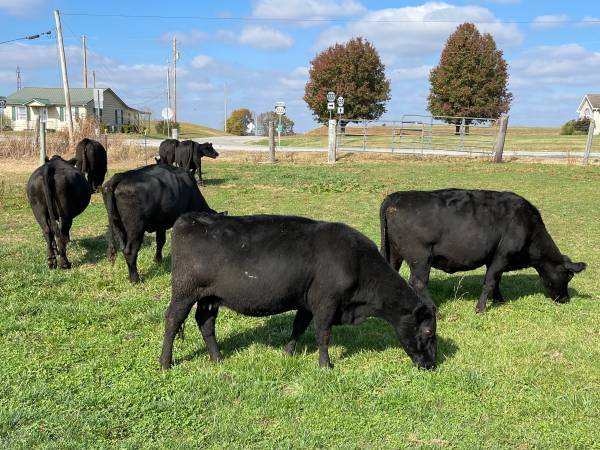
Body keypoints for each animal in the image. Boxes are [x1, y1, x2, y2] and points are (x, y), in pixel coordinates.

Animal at [159, 214, 436, 370]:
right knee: (172, 321)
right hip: (184, 292)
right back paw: (165, 363)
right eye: (428, 332)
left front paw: (288, 352)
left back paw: (217, 359)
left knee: (205, 323)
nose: (432, 365)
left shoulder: (306, 302)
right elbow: (323, 334)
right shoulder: (326, 303)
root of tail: (191, 219)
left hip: (209, 297)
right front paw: (325, 366)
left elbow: (299, 327)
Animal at [380, 189, 584, 312]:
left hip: (394, 253)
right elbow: (489, 282)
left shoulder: (493, 258)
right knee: (419, 283)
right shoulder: (502, 255)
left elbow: (497, 280)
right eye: (568, 276)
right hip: (420, 257)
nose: (566, 299)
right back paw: (435, 312)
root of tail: (395, 197)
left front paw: (499, 300)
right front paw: (480, 308)